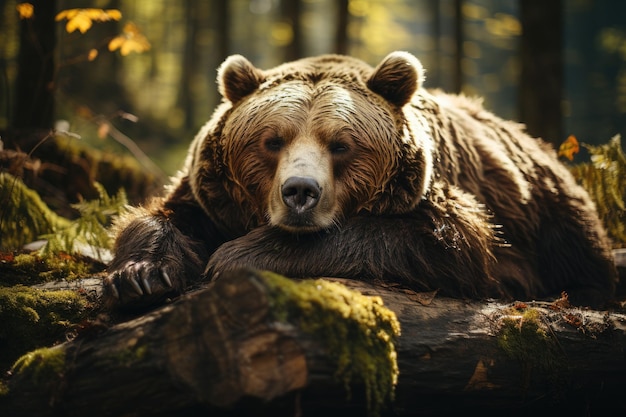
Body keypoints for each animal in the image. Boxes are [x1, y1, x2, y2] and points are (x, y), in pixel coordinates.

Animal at [102, 50, 616, 308]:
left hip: (553, 220)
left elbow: (446, 241)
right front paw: (140, 275)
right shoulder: (210, 195)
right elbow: (162, 217)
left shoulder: (441, 203)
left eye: (341, 144)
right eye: (272, 140)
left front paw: (237, 255)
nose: (300, 192)